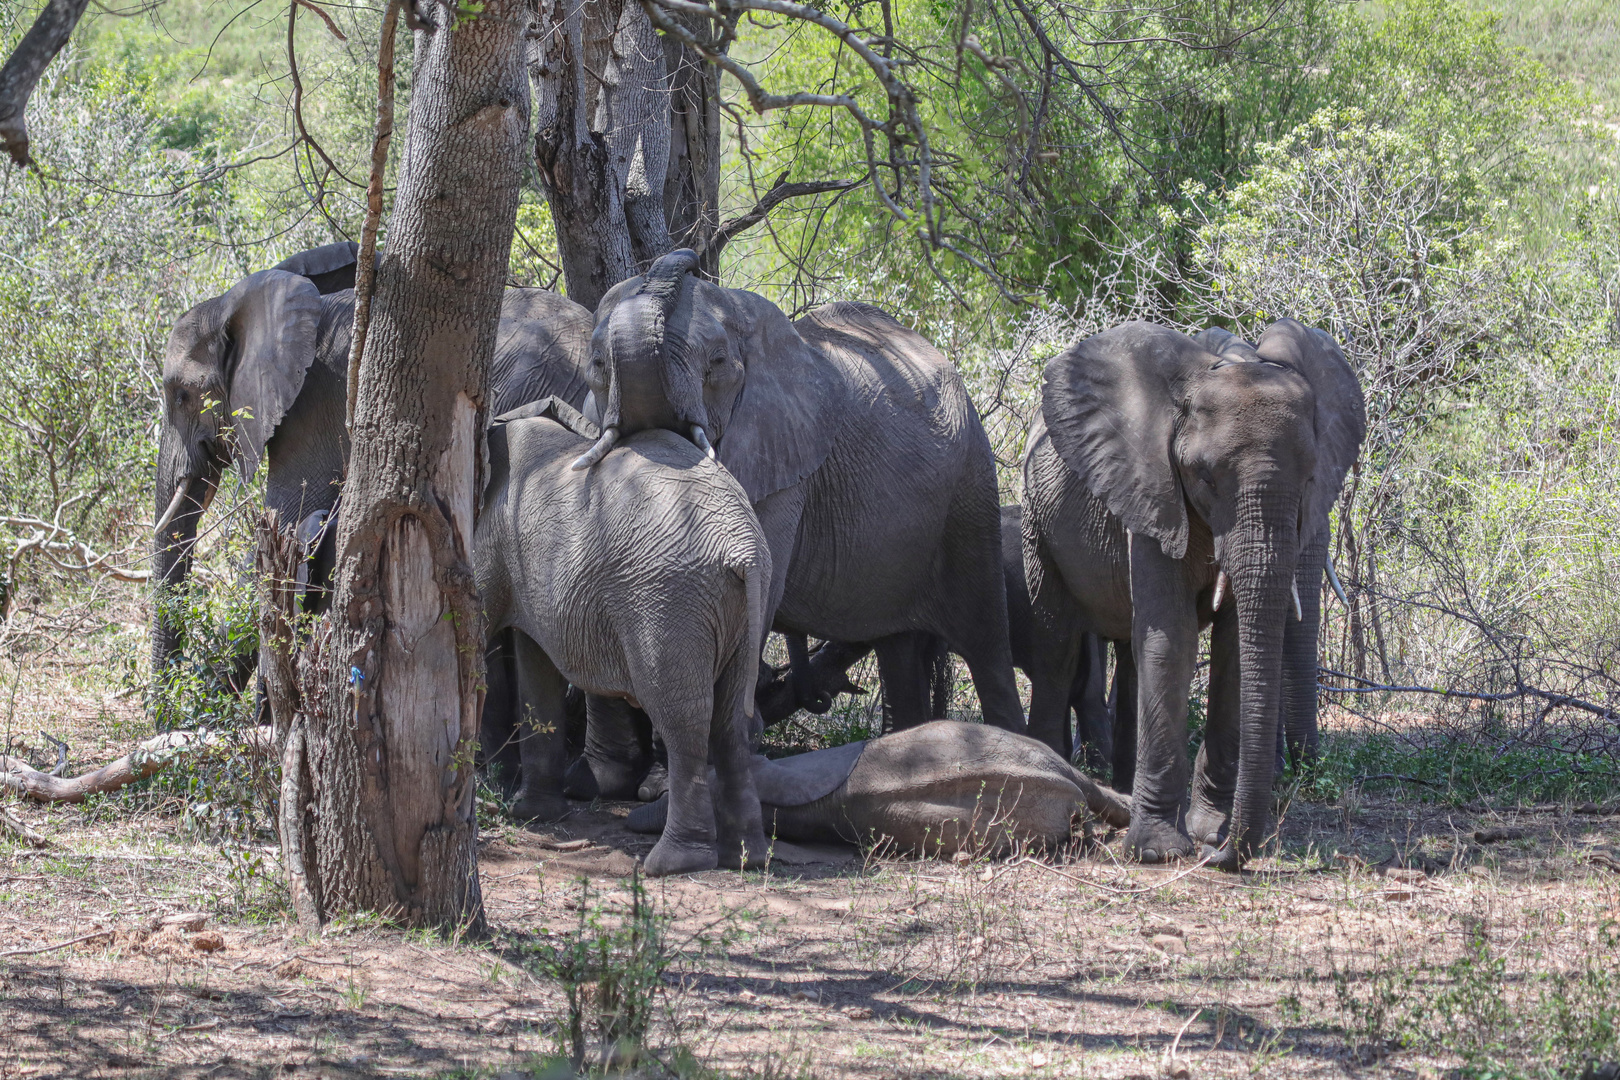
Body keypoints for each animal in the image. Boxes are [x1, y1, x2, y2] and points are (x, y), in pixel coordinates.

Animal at [473, 399, 771, 880]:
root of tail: (744, 551)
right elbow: (535, 663)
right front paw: (533, 815)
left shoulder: (491, 544)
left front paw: (520, 810)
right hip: (737, 610)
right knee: (728, 722)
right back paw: (747, 858)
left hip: (668, 601)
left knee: (683, 718)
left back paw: (671, 864)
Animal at [576, 249, 1017, 767]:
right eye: (597, 365)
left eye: (717, 363)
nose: (683, 259)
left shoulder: (786, 460)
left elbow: (763, 573)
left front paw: (737, 741)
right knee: (900, 648)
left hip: (971, 486)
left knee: (987, 643)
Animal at [1023, 317, 1367, 867]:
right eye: (1205, 476)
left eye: (1311, 476)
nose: (1221, 855)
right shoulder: (1151, 488)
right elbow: (1174, 636)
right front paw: (1159, 851)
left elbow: (1234, 645)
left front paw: (1210, 831)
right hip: (1037, 517)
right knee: (1056, 647)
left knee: (1131, 655)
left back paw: (1125, 790)